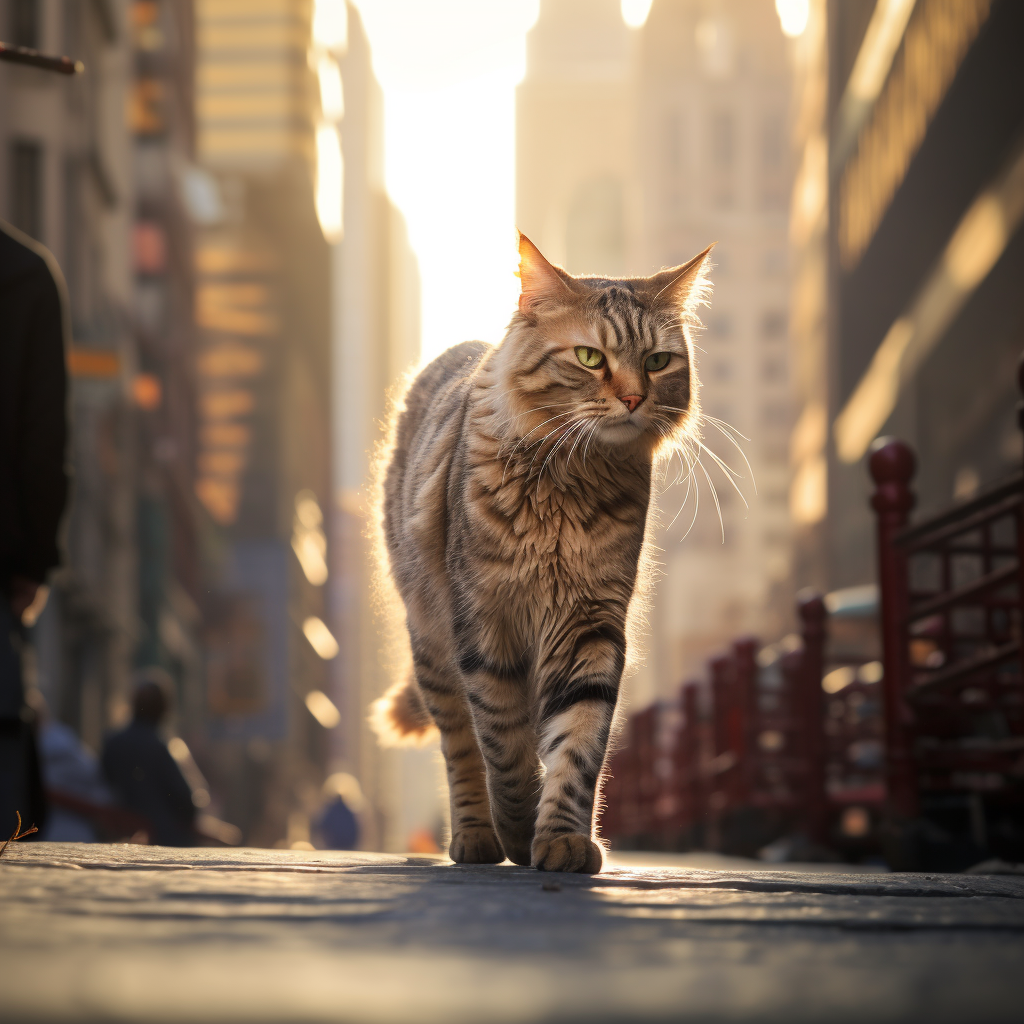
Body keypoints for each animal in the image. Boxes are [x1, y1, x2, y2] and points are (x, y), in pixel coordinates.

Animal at [374, 234, 712, 872]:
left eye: (658, 362)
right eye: (589, 358)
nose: (634, 398)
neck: (568, 483)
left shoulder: (589, 624)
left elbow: (577, 746)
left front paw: (560, 837)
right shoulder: (486, 625)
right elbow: (502, 753)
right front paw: (517, 828)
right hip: (432, 644)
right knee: (461, 750)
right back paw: (477, 838)